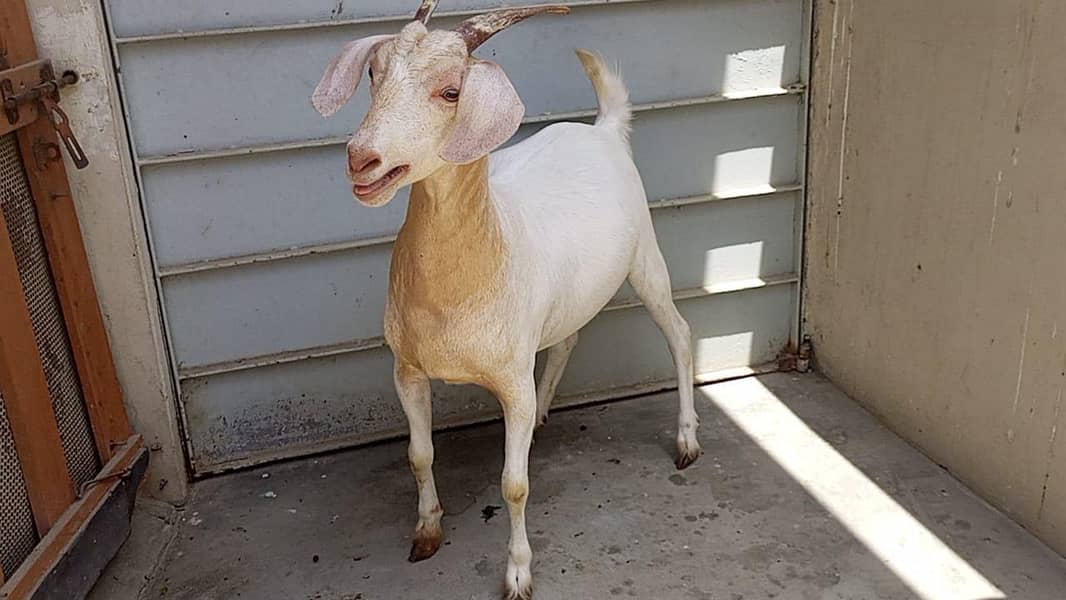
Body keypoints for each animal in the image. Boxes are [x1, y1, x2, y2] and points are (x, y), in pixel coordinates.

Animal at [312, 2, 701, 597]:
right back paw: (542, 416)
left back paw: (686, 441)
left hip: (645, 254)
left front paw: (518, 572)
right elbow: (419, 454)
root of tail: (603, 130)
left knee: (678, 334)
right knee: (568, 338)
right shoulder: (407, 369)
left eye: (452, 91)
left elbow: (514, 485)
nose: (362, 159)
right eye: (373, 74)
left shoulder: (512, 379)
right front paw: (427, 532)